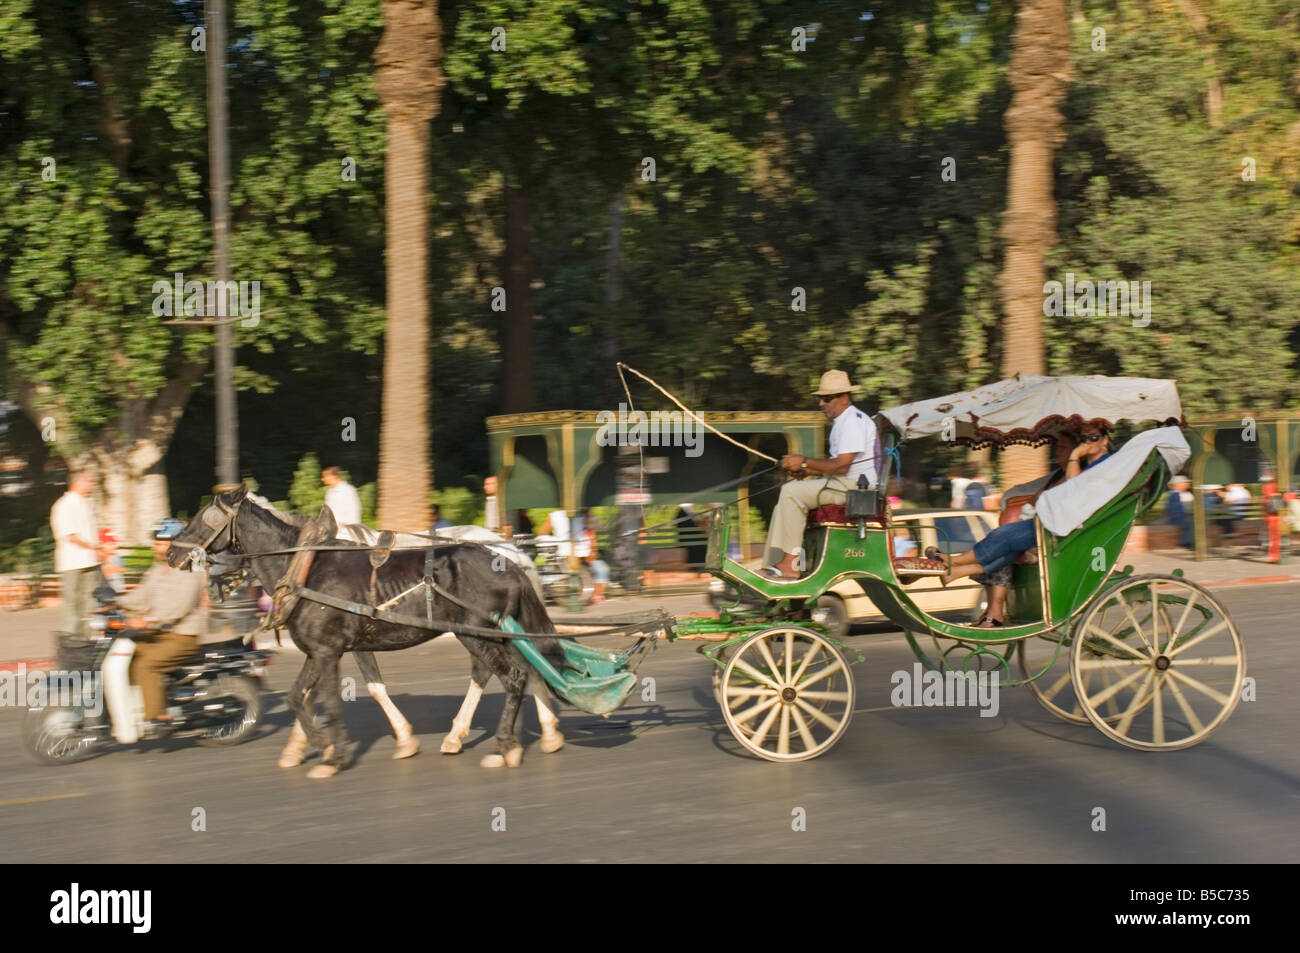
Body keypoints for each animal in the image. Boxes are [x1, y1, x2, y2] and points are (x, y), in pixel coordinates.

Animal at [167, 486, 559, 774]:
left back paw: (508, 742)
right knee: (521, 670)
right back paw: (514, 736)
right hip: (494, 634)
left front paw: (331, 753)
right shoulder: (322, 650)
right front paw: (316, 746)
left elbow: (331, 701)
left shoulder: (328, 650)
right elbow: (301, 697)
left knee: (511, 675)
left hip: (476, 633)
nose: (171, 553)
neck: (305, 566)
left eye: (204, 517)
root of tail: (510, 559)